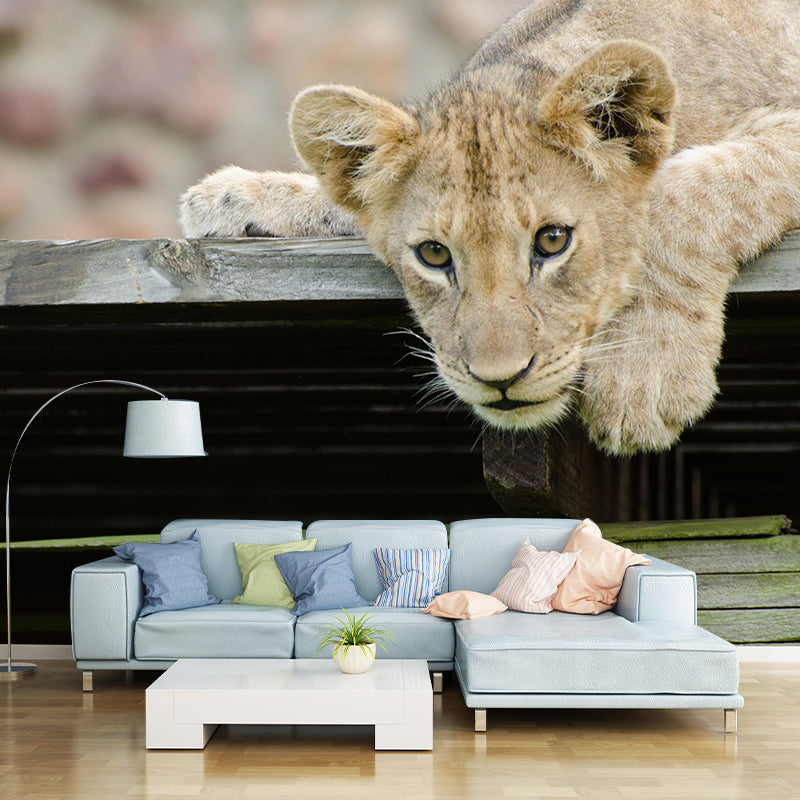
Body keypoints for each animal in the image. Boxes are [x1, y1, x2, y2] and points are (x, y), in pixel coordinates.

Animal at [179, 0, 800, 456]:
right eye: (433, 254)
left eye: (552, 241)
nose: (499, 379)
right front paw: (229, 197)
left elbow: (685, 193)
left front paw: (644, 376)